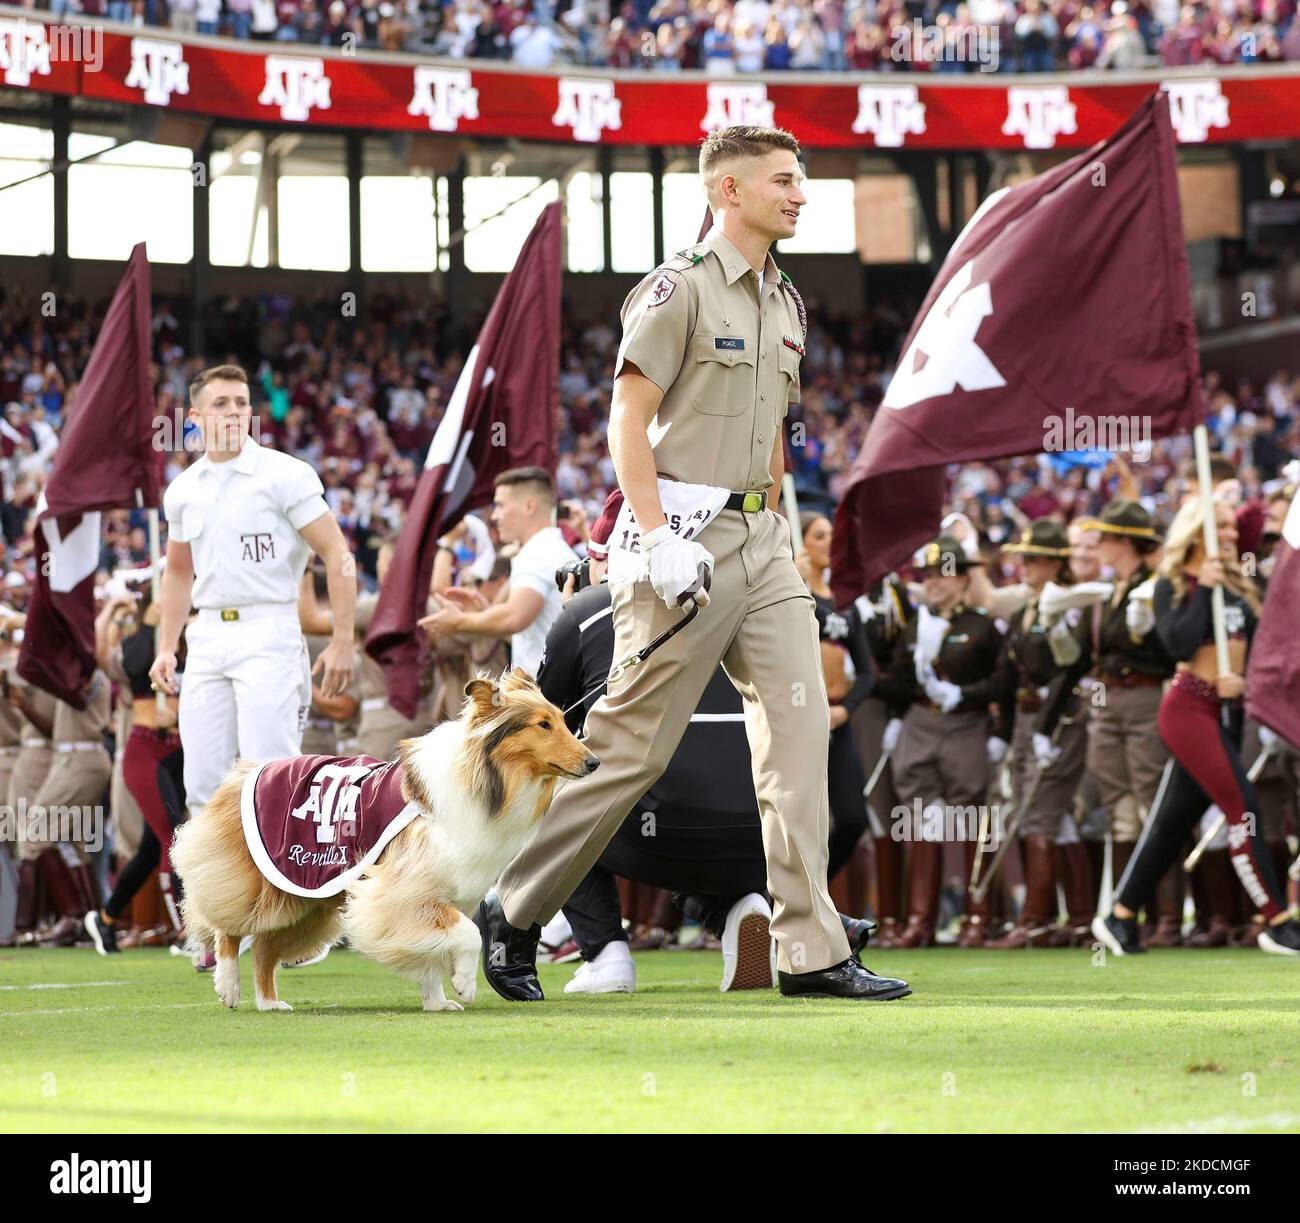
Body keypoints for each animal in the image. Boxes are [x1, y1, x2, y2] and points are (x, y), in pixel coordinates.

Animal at [170, 670, 595, 1013]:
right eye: (542, 725)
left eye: (561, 720)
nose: (594, 762)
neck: (482, 778)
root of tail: (243, 772)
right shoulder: (402, 891)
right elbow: (468, 933)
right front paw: (464, 985)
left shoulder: (433, 895)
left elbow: (435, 950)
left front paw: (437, 1002)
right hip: (263, 888)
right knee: (225, 926)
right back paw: (228, 985)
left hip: (307, 903)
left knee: (262, 949)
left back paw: (269, 1002)